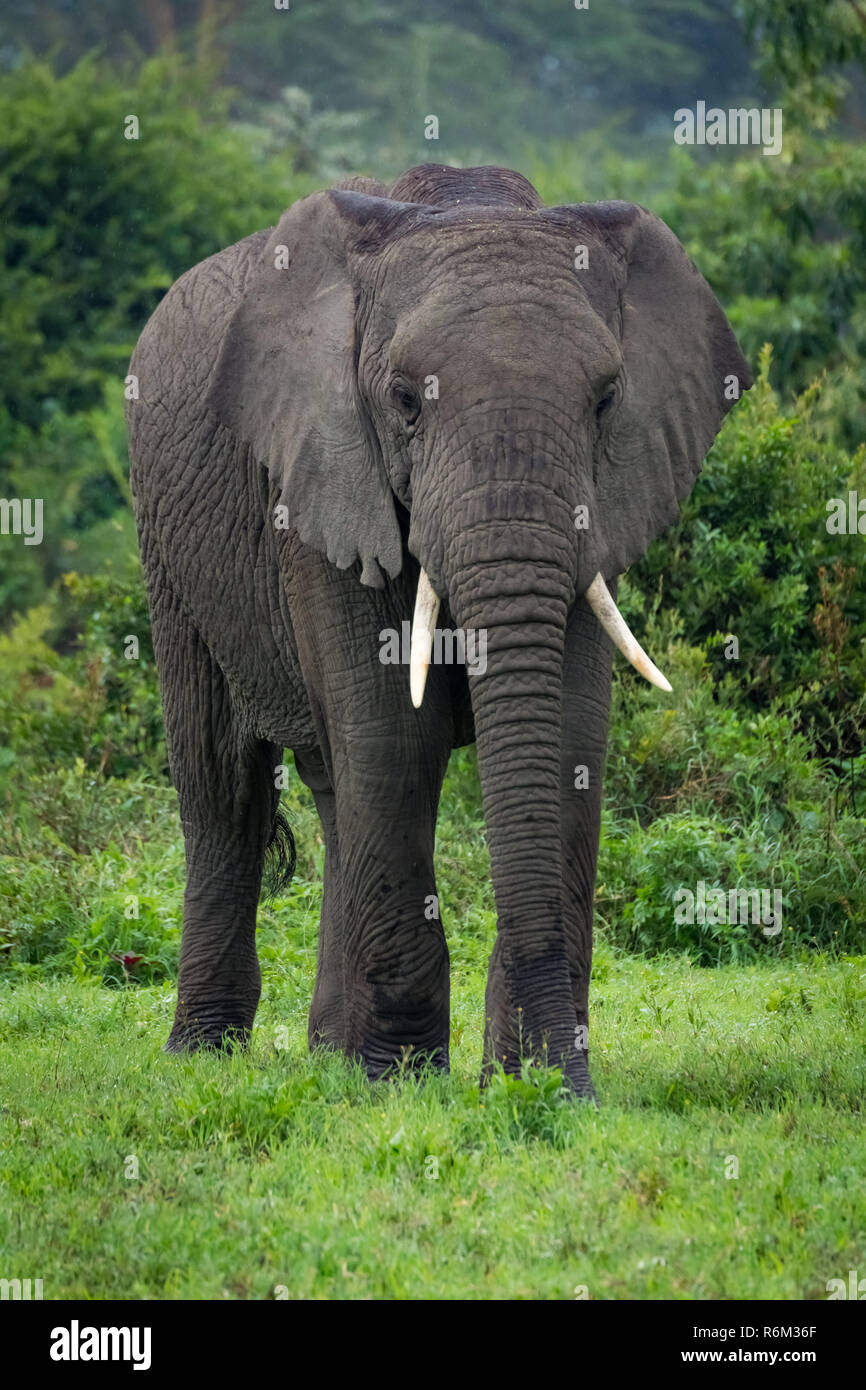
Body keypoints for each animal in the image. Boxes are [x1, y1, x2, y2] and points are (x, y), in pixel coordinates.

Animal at [126, 162, 751, 1098]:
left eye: (607, 401)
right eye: (404, 402)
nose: (566, 1085)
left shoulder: (596, 518)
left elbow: (568, 740)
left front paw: (527, 1086)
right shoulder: (323, 480)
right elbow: (396, 741)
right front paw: (403, 1085)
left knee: (333, 788)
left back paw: (328, 1057)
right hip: (167, 542)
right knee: (223, 782)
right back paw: (204, 1056)